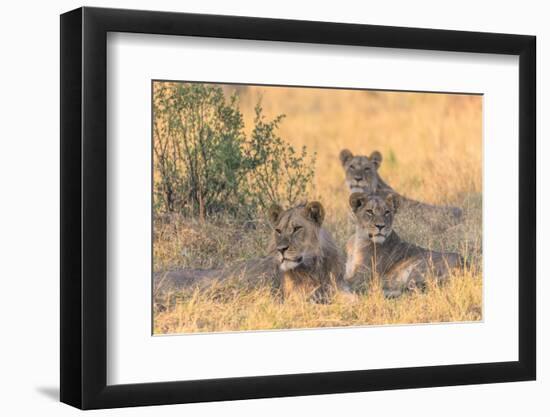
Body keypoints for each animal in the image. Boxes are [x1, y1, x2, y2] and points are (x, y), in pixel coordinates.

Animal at [154, 202, 354, 302]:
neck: (315, 267)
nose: (281, 250)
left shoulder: (341, 288)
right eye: (278, 231)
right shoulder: (296, 299)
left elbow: (351, 299)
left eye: (297, 228)